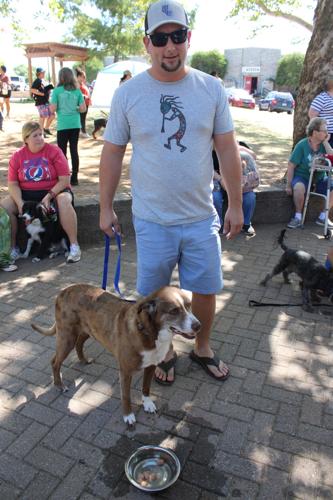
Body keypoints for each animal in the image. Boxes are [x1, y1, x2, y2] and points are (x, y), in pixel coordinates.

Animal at [31, 286, 200, 426]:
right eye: (174, 311)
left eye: (189, 305)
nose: (198, 326)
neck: (148, 332)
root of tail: (64, 291)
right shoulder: (125, 372)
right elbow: (126, 396)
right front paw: (128, 415)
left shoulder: (151, 366)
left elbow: (146, 387)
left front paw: (147, 403)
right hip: (67, 338)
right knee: (54, 361)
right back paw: (59, 385)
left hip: (88, 331)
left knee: (79, 344)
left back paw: (83, 360)